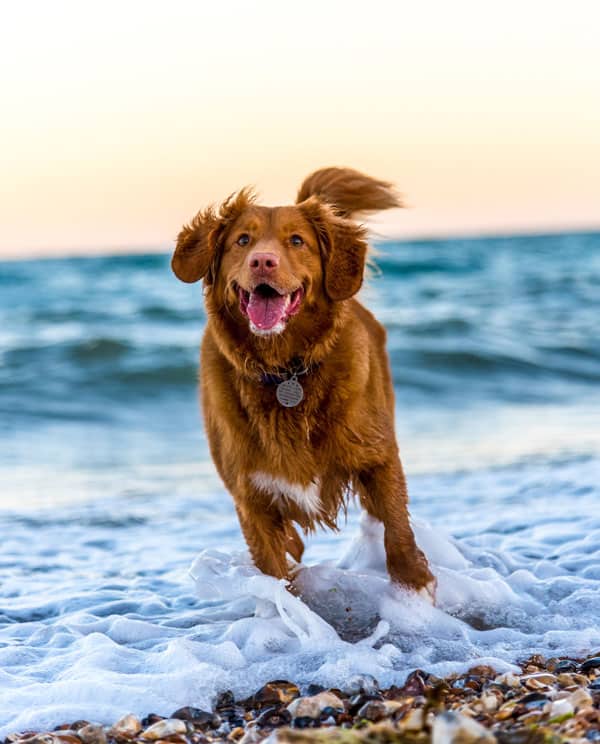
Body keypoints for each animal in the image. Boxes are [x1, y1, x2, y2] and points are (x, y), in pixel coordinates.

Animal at [171, 166, 434, 596]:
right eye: (242, 240)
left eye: (297, 241)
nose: (262, 261)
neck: (285, 371)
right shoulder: (251, 496)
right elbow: (274, 569)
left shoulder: (378, 457)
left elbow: (396, 527)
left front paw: (415, 584)